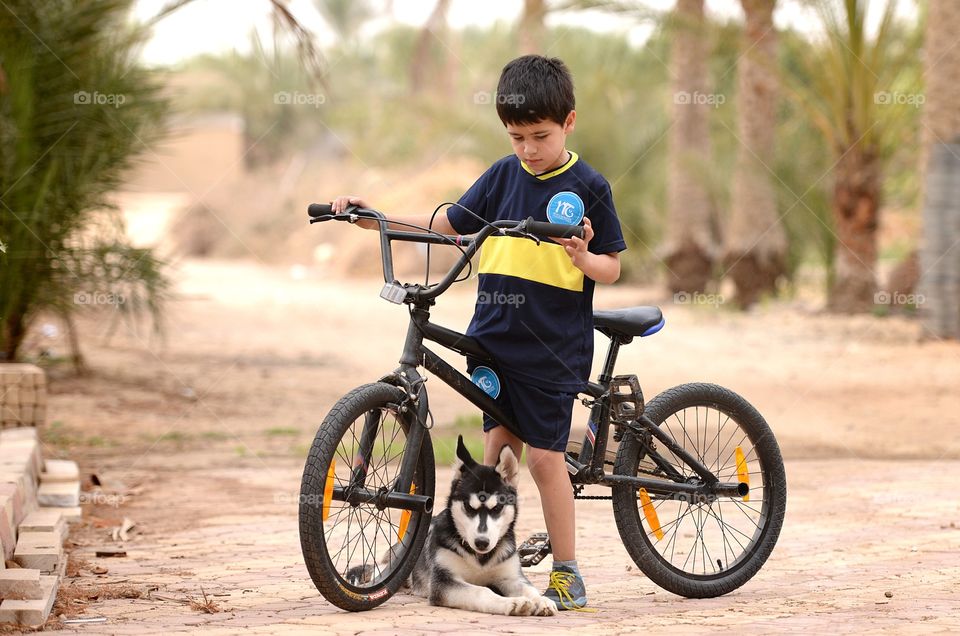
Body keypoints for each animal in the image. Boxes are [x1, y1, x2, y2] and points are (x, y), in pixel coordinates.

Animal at [408, 438, 560, 616]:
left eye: (497, 508)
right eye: (469, 507)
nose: (482, 542)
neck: (480, 559)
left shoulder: (511, 576)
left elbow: (529, 588)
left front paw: (542, 600)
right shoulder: (444, 581)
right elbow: (481, 591)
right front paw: (514, 602)